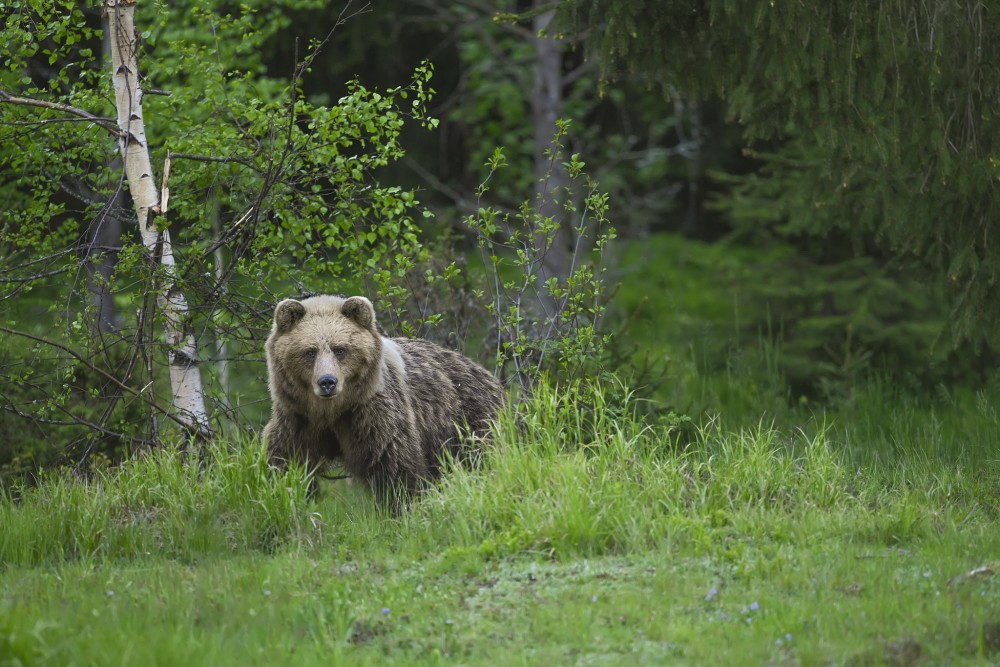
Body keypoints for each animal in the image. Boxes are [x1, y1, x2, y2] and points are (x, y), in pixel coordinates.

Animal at [264, 294, 504, 508]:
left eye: (340, 349)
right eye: (310, 351)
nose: (327, 382)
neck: (332, 411)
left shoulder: (372, 414)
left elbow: (394, 466)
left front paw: (400, 506)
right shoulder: (297, 417)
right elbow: (285, 461)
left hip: (468, 421)